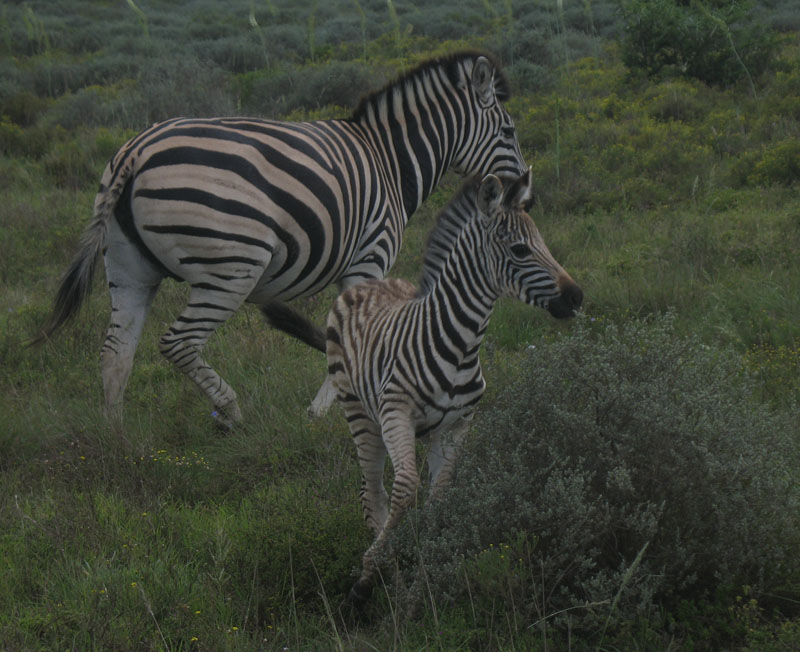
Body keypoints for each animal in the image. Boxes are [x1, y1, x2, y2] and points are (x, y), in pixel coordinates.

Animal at [32, 51, 527, 426]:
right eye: (509, 131)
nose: (525, 191)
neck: (389, 160)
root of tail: (134, 152)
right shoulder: (369, 257)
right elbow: (348, 340)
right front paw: (325, 410)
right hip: (231, 267)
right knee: (178, 343)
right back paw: (231, 411)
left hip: (127, 267)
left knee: (115, 353)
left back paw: (118, 441)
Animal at [264, 168, 582, 610]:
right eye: (520, 250)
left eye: (544, 244)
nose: (577, 297)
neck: (460, 343)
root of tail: (364, 285)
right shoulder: (396, 414)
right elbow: (404, 492)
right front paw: (369, 579)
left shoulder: (458, 425)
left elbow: (438, 500)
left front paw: (422, 583)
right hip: (360, 414)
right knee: (372, 494)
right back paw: (381, 579)